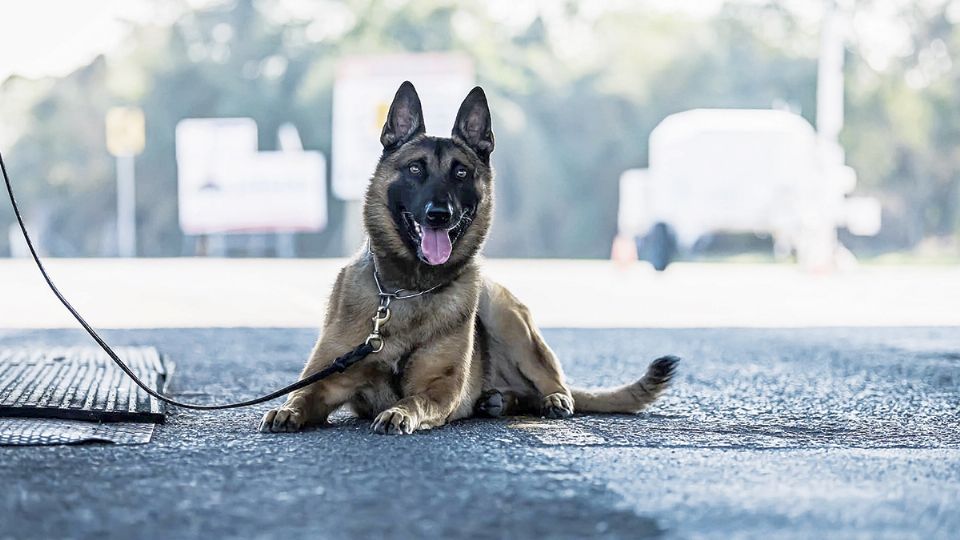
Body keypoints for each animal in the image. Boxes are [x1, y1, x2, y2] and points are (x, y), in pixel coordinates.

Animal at [258, 81, 680, 434]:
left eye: (461, 173)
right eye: (415, 169)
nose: (438, 214)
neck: (406, 292)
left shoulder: (440, 389)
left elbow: (414, 400)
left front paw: (398, 413)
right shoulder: (330, 378)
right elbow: (303, 394)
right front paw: (286, 409)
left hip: (501, 309)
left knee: (553, 383)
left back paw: (550, 399)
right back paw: (498, 400)